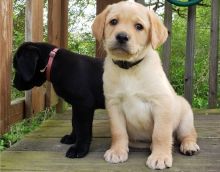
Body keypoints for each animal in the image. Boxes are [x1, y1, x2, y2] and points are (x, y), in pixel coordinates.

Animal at [91, 0, 199, 169]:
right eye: (113, 22)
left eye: (139, 26)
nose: (122, 36)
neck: (129, 68)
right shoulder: (114, 104)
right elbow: (118, 131)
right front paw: (117, 151)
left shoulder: (161, 103)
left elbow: (160, 134)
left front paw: (160, 157)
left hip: (185, 120)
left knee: (189, 134)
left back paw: (189, 146)